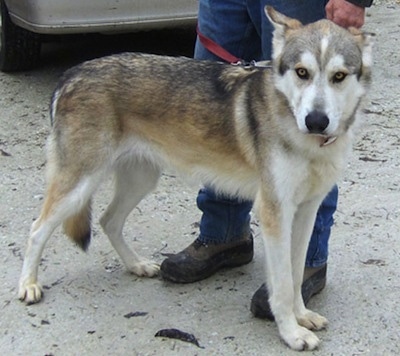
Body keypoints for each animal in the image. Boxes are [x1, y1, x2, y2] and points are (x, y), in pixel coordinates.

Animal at [18, 6, 372, 352]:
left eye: (338, 77)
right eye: (302, 73)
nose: (316, 121)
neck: (305, 140)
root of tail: (72, 73)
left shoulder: (306, 212)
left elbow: (297, 273)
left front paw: (302, 317)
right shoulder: (275, 213)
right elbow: (283, 284)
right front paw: (291, 333)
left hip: (140, 180)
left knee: (108, 221)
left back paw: (137, 265)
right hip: (79, 186)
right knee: (37, 229)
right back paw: (29, 286)